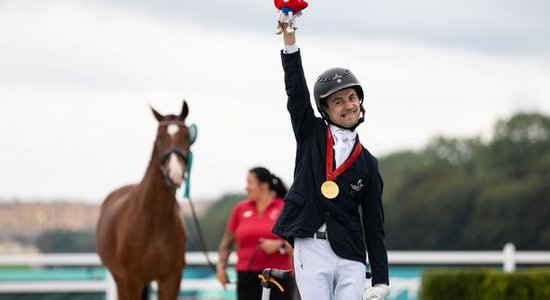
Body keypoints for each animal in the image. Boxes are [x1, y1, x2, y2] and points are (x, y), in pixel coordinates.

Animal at [96, 102, 195, 298]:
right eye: (158, 138)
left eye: (187, 136)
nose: (174, 173)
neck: (155, 222)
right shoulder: (132, 280)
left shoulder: (171, 280)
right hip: (120, 279)